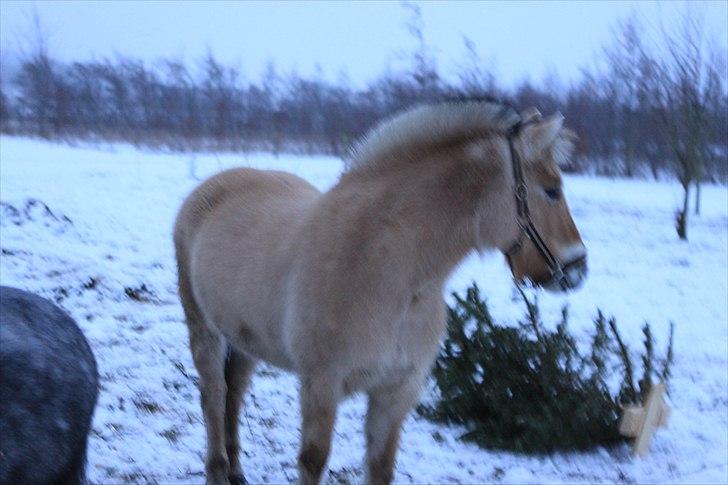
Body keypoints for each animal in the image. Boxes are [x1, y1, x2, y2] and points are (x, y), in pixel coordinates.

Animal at [173, 100, 587, 485]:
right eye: (552, 190)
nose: (577, 270)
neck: (387, 274)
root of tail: (212, 187)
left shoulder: (397, 391)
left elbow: (380, 467)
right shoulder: (321, 384)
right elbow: (313, 460)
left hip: (245, 341)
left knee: (235, 393)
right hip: (204, 331)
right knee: (213, 395)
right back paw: (217, 470)